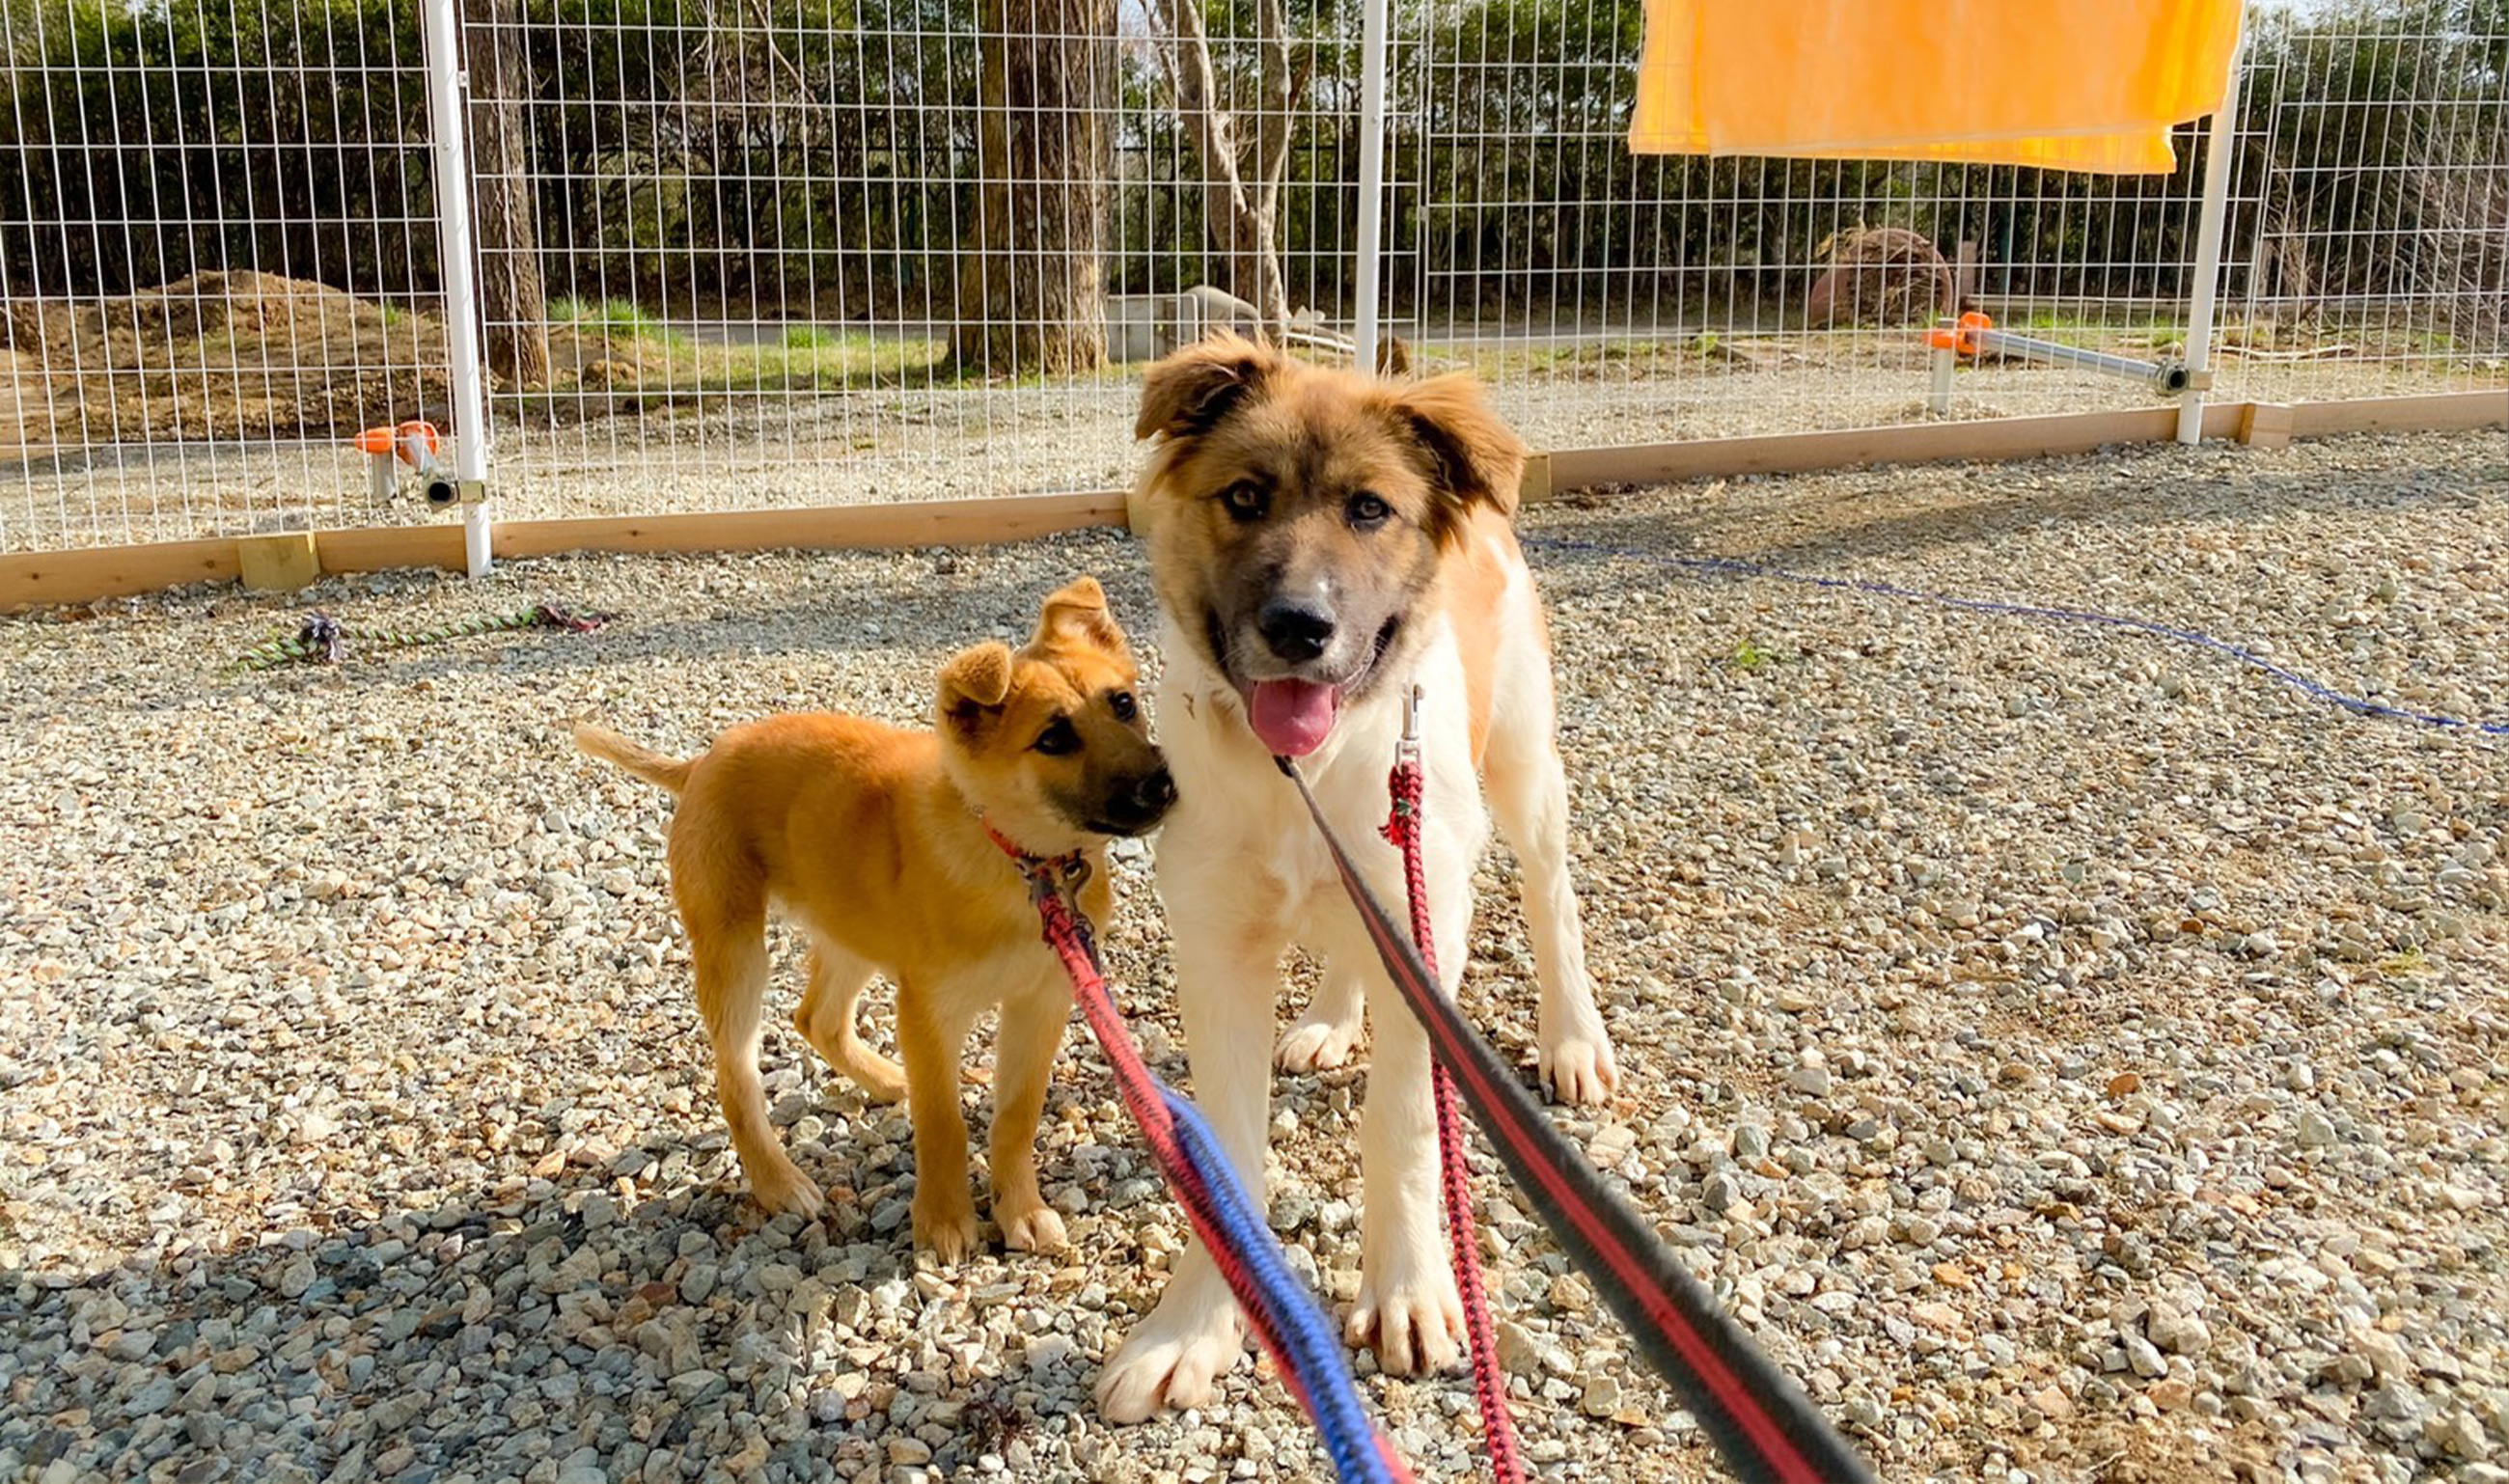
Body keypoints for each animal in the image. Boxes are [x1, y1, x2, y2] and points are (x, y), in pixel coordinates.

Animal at [577, 573, 1173, 1258]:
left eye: (1123, 704)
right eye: (1053, 740)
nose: (1161, 786)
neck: (1022, 863)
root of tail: (701, 762)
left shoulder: (1042, 1000)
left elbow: (1015, 1118)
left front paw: (1020, 1209)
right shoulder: (930, 1009)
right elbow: (942, 1123)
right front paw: (944, 1221)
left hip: (849, 926)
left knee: (818, 1019)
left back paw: (889, 1080)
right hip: (735, 952)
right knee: (737, 1079)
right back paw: (779, 1182)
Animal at [1104, 338, 1625, 1423]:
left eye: (1370, 509)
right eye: (1244, 495)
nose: (1299, 626)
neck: (1299, 771)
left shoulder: (1426, 934)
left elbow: (1402, 1126)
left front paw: (1407, 1291)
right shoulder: (1217, 950)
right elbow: (1227, 1152)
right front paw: (1195, 1326)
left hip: (1522, 773)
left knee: (1552, 900)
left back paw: (1572, 1039)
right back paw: (1331, 1018)